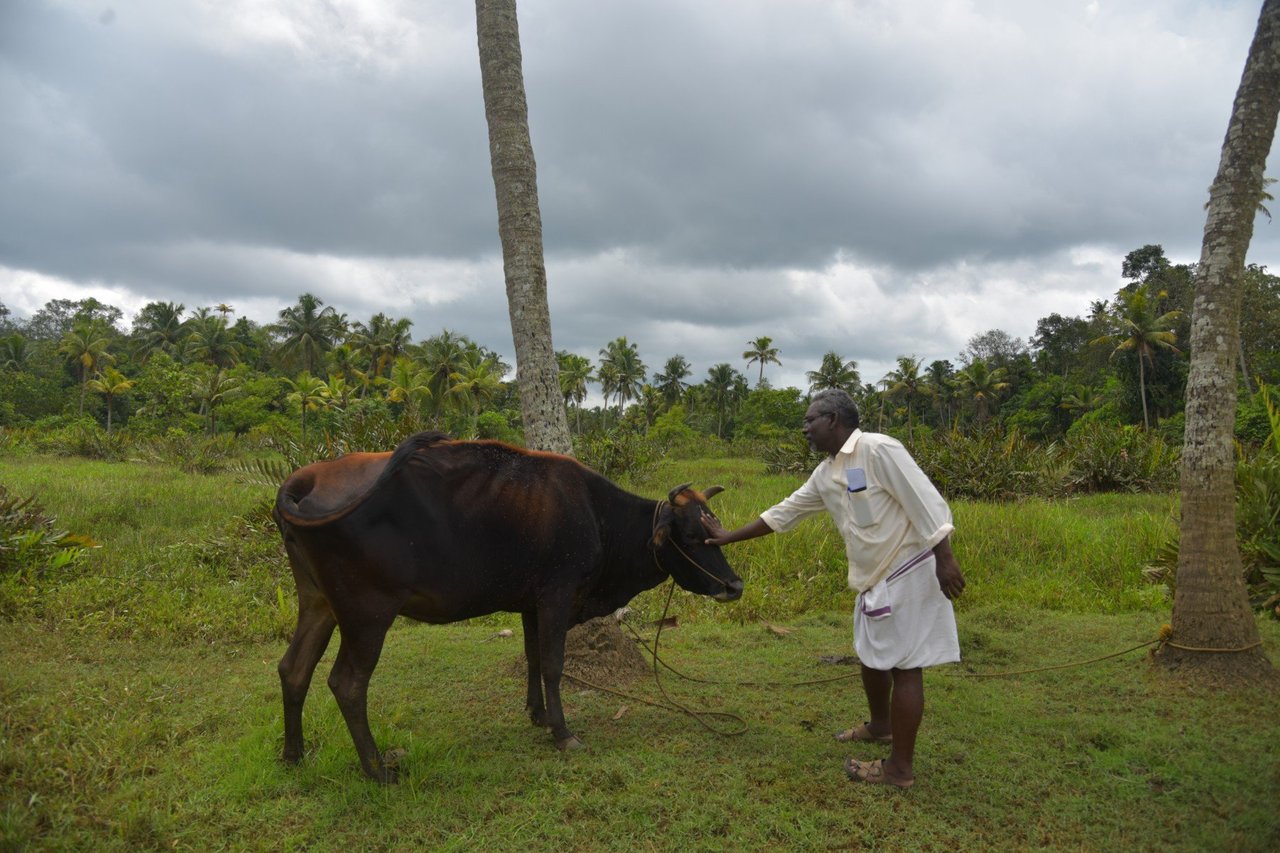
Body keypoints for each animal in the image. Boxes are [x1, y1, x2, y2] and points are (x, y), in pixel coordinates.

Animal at [275, 427, 747, 778]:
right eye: (692, 536)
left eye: (716, 527)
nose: (734, 585)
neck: (598, 515)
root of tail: (305, 478)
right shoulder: (557, 593)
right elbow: (554, 664)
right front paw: (562, 732)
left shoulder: (530, 603)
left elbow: (533, 656)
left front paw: (538, 714)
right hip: (367, 614)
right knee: (347, 684)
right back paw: (377, 770)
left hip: (318, 603)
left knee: (293, 669)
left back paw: (294, 756)